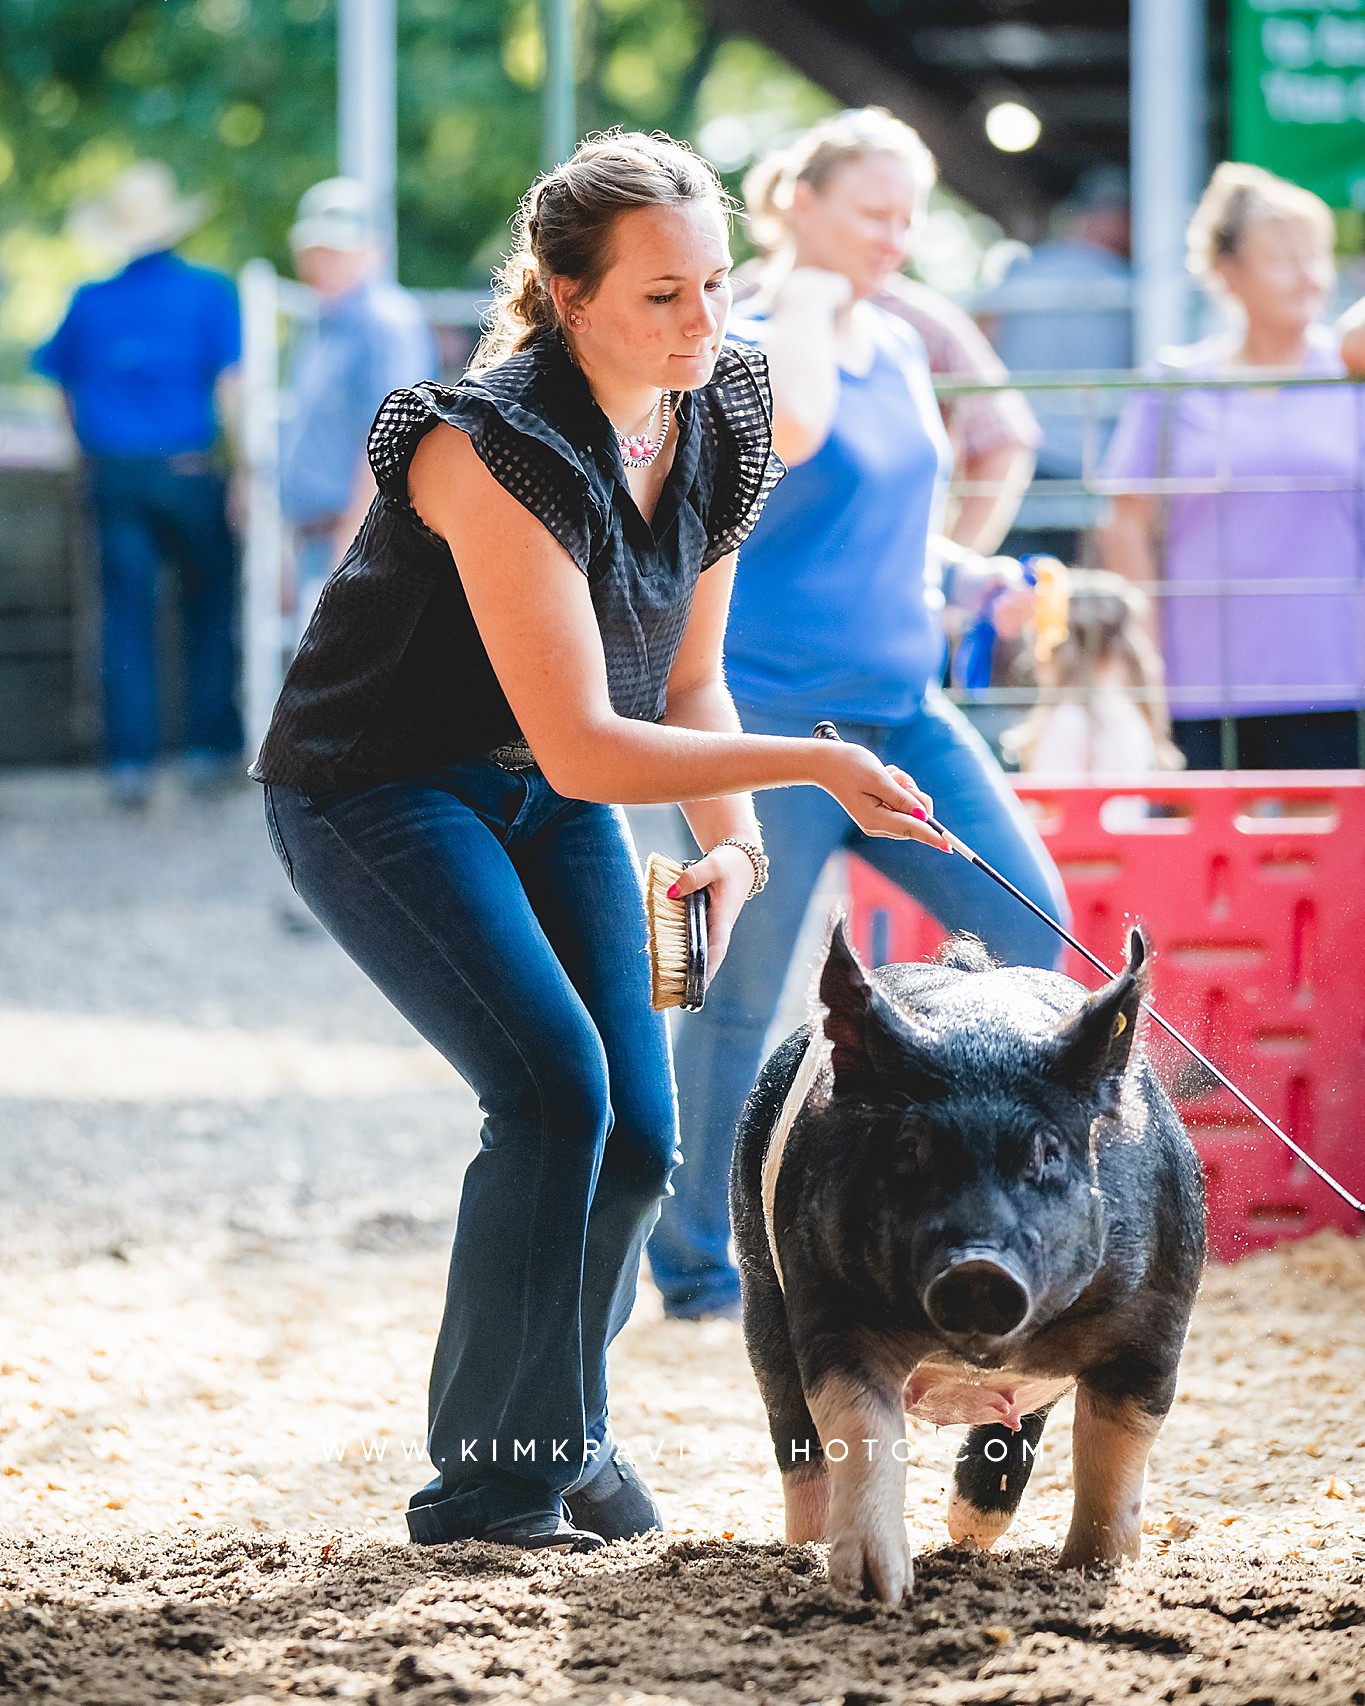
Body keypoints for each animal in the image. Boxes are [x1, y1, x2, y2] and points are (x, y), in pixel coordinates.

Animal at [737, 921, 1208, 1596]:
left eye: (1049, 1151)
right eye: (908, 1148)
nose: (979, 1266)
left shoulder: (1155, 1325)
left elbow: (1115, 1452)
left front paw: (1096, 1573)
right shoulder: (830, 1302)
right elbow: (861, 1428)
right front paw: (875, 1588)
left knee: (1022, 1425)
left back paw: (969, 1535)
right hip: (759, 1280)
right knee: (789, 1414)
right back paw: (806, 1545)